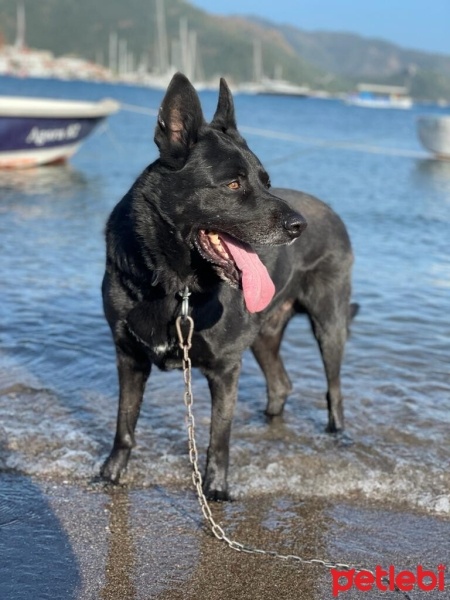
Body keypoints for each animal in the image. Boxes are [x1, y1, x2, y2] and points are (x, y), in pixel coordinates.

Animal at [100, 71, 356, 502]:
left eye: (267, 182)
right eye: (233, 184)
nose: (298, 227)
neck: (176, 286)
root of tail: (331, 212)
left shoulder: (224, 368)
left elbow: (218, 436)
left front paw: (216, 489)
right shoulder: (128, 357)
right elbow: (124, 424)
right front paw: (111, 473)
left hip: (329, 326)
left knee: (334, 391)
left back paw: (338, 436)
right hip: (264, 338)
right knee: (281, 385)